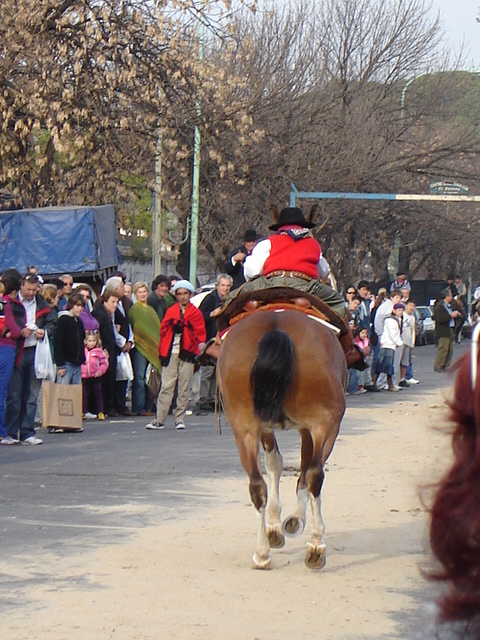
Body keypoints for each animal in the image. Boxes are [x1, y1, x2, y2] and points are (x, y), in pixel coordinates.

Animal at [217, 306, 344, 568]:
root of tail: (276, 325)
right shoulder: (308, 427)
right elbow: (303, 469)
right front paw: (293, 521)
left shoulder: (264, 427)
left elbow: (274, 465)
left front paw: (274, 527)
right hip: (326, 422)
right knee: (314, 473)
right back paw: (315, 545)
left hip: (243, 428)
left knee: (257, 485)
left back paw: (262, 553)